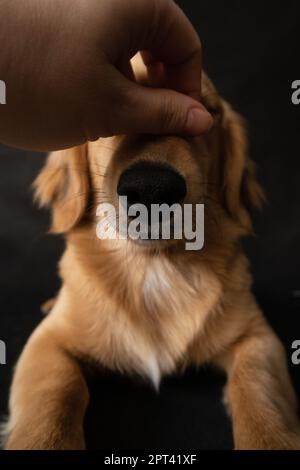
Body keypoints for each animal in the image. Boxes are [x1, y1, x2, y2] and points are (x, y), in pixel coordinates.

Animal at [3, 57, 300, 450]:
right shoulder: (47, 344)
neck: (155, 267)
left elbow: (257, 390)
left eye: (205, 114)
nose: (151, 189)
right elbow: (52, 397)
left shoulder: (258, 337)